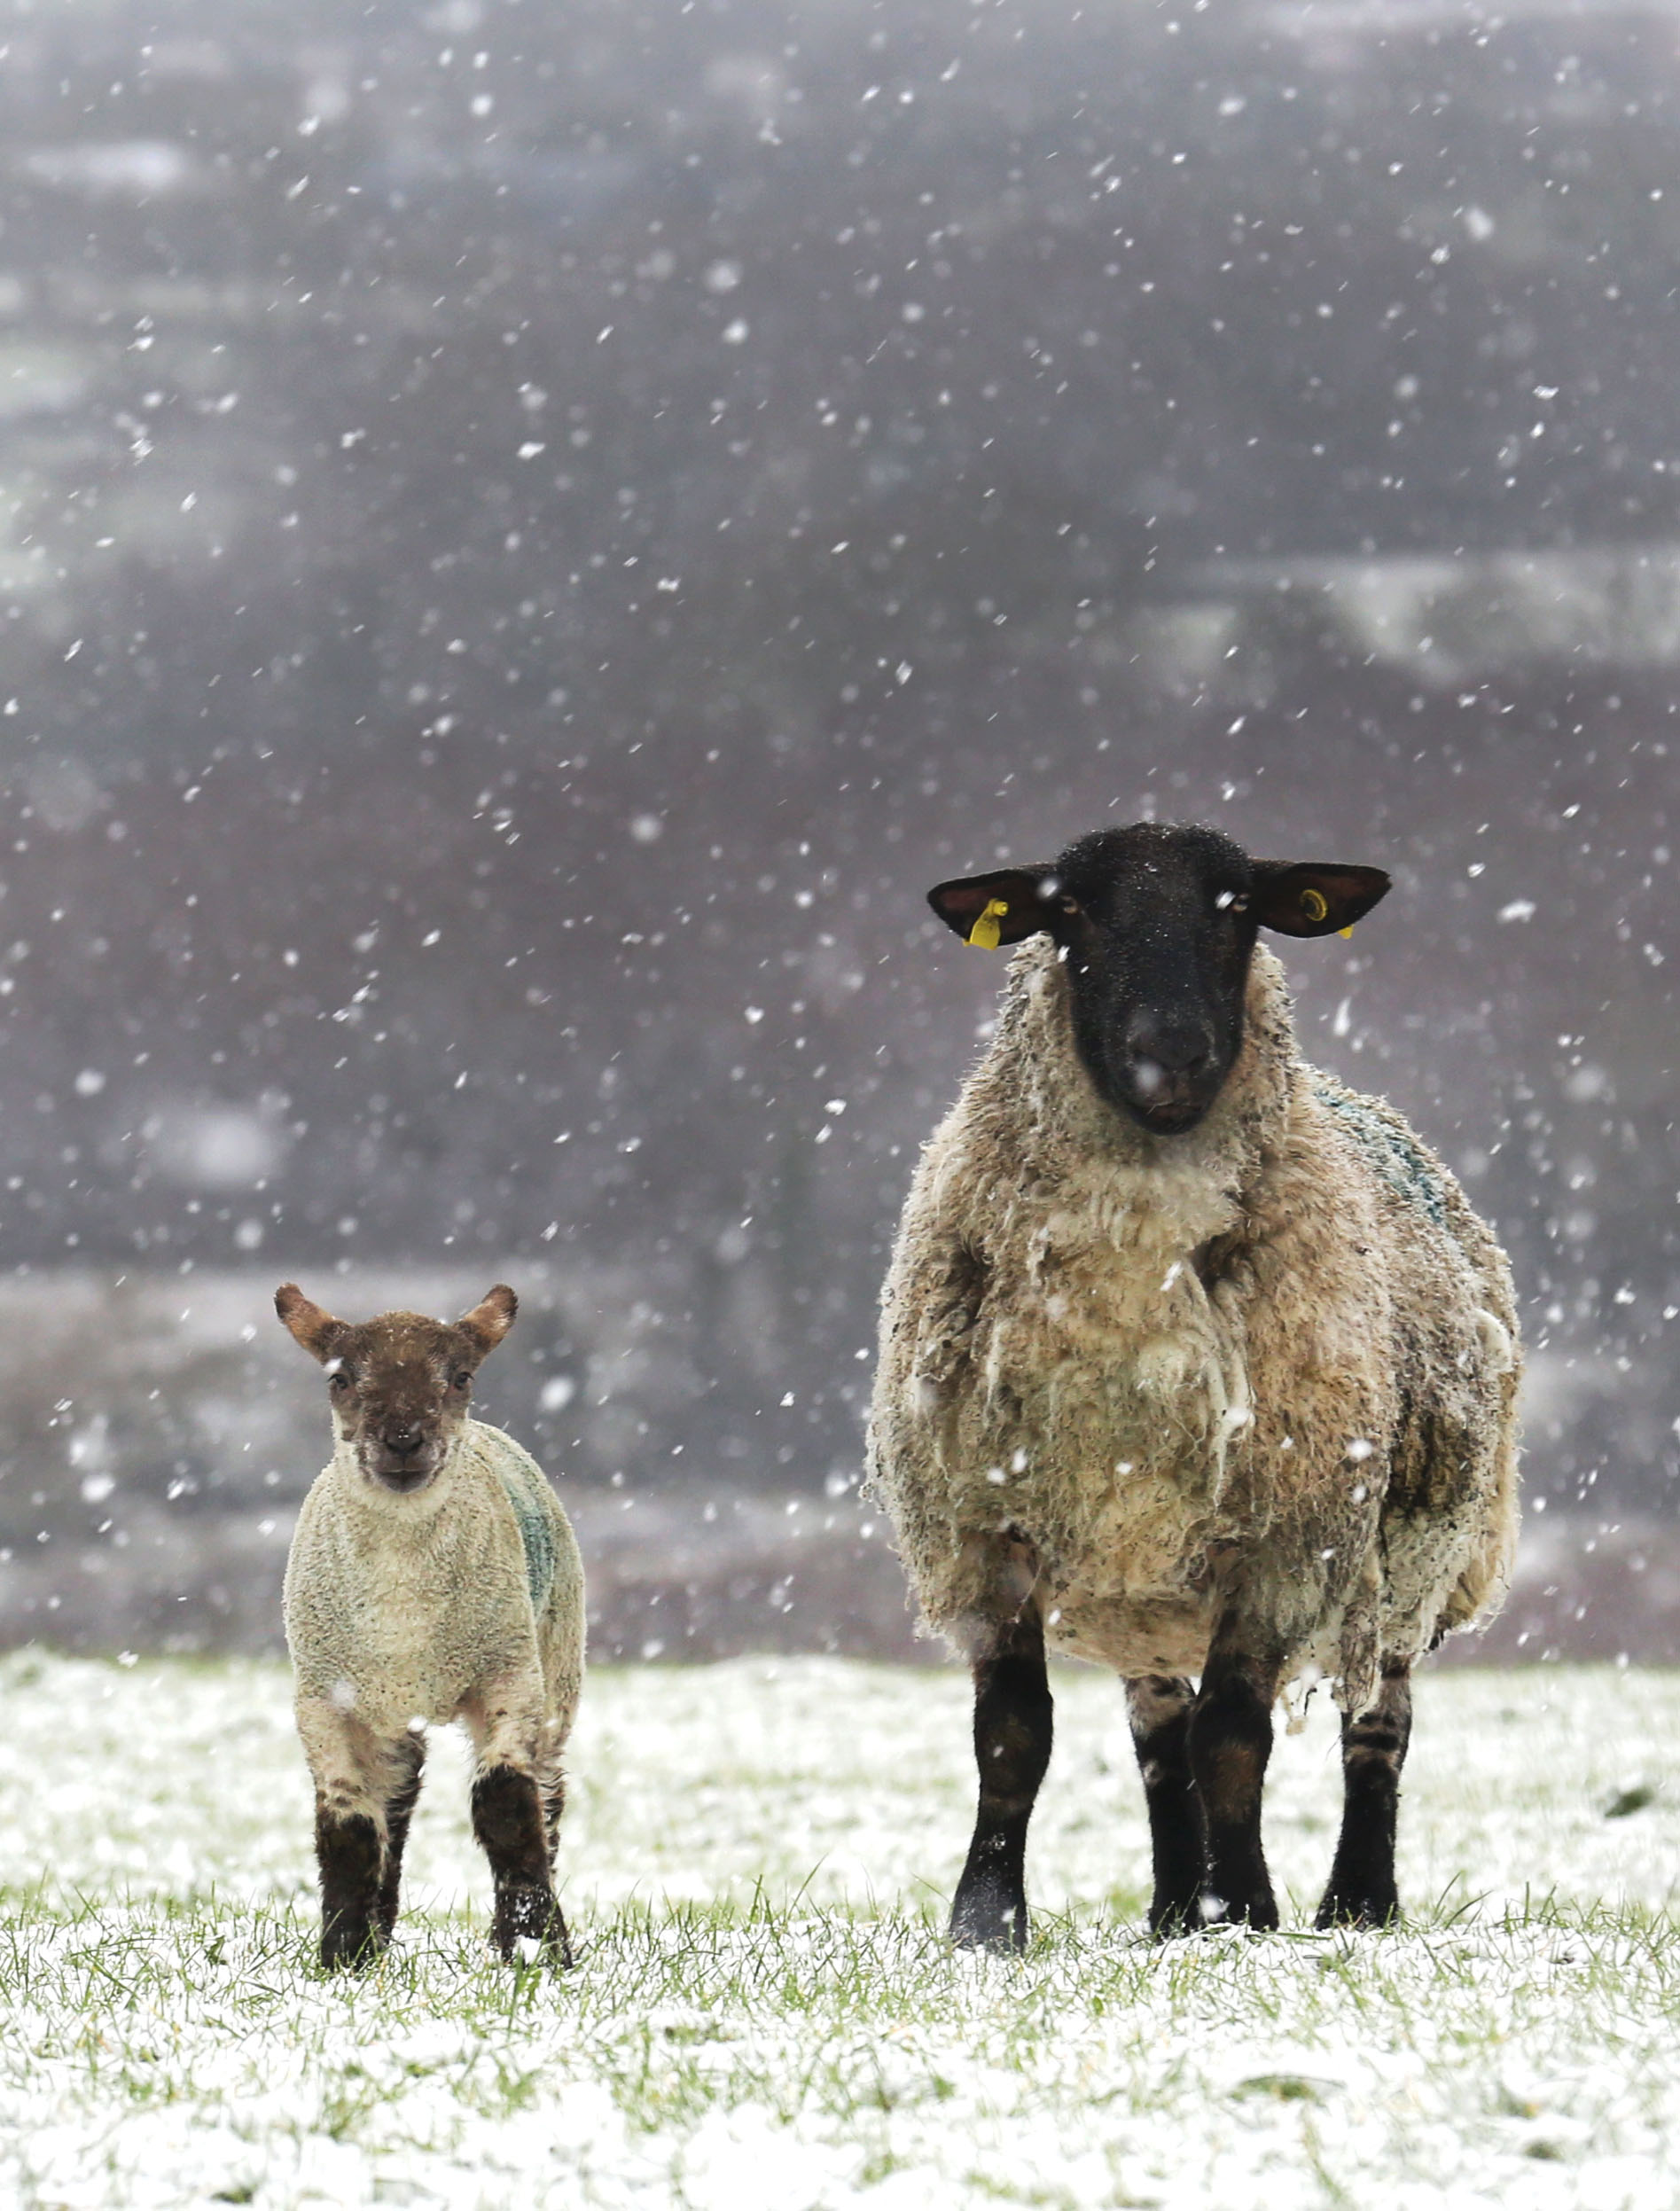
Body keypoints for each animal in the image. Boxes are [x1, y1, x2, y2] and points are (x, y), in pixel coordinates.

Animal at [275, 1282, 583, 1972]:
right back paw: (376, 1933)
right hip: (385, 1704)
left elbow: (506, 1804)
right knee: (396, 1795)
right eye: (340, 1379)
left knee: (547, 1794)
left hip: (557, 1657)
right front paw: (341, 1956)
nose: (402, 1440)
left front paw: (534, 1946)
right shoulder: (323, 1699)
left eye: (461, 1376)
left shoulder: (508, 1673)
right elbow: (346, 1826)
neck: (405, 1613)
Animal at [866, 822, 1520, 1945]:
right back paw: (1173, 1907)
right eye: (1067, 909)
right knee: (1155, 1740)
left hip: (1414, 1552)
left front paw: (1247, 1910)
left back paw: (1354, 1903)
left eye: (1239, 910)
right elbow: (1012, 1732)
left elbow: (1235, 1735)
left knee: (1374, 1724)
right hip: (1143, 1576)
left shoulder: (1281, 1535)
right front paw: (986, 1920)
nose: (1168, 1055)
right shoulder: (982, 1525)